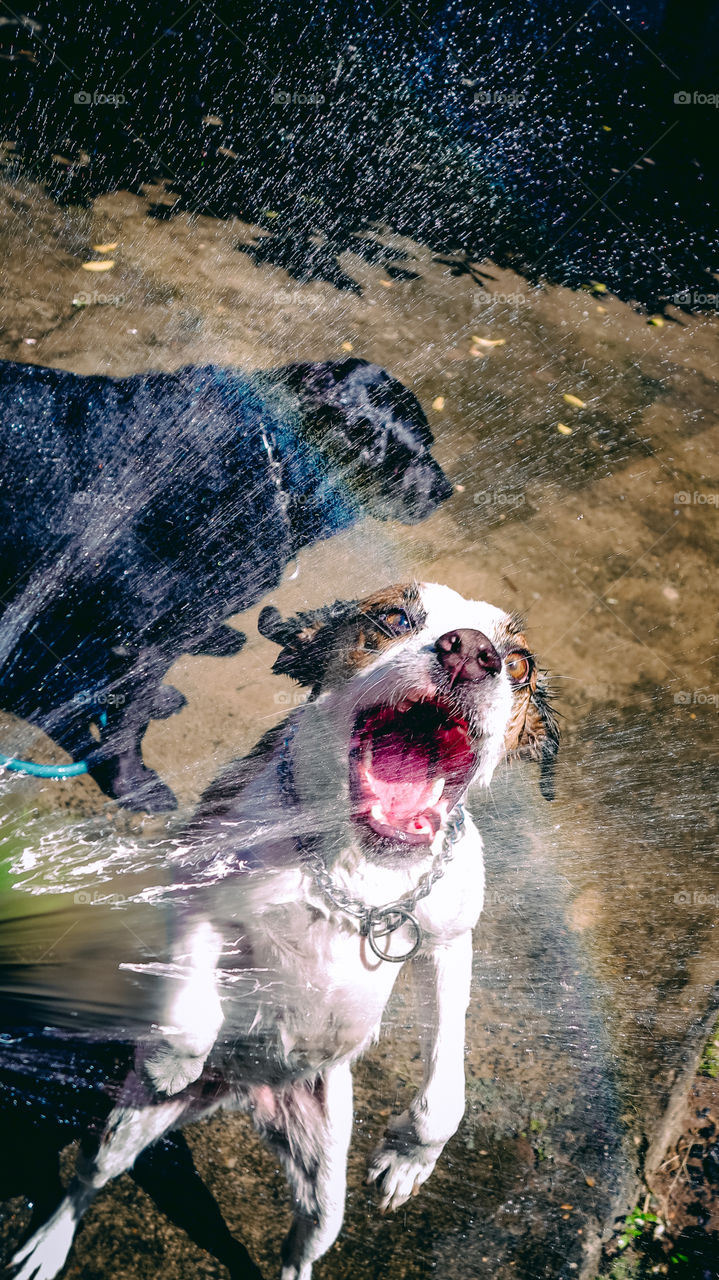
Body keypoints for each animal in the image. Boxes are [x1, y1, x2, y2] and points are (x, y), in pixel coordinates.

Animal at [0, 358, 447, 808]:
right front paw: (133, 784)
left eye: (430, 443)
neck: (273, 463)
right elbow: (129, 719)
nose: (445, 491)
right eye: (405, 459)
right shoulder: (157, 633)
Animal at [11, 586, 557, 1280]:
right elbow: (191, 1011)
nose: (471, 652)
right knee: (89, 1178)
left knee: (306, 1240)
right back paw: (51, 1241)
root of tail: (239, 1095)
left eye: (518, 663)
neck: (355, 865)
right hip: (126, 1128)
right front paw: (171, 1058)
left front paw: (411, 1156)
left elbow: (447, 1076)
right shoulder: (193, 884)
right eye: (393, 618)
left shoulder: (448, 943)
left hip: (323, 1176)